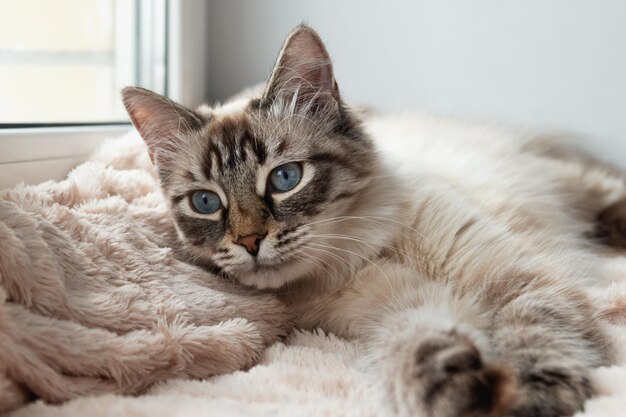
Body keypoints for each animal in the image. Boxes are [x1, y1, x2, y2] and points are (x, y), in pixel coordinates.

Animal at [122, 26, 620, 416]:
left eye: (285, 178)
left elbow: (534, 338)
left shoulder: (517, 280)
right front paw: (462, 388)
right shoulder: (397, 310)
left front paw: (527, 398)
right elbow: (420, 347)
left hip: (579, 188)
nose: (249, 241)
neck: (360, 252)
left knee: (608, 195)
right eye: (206, 202)